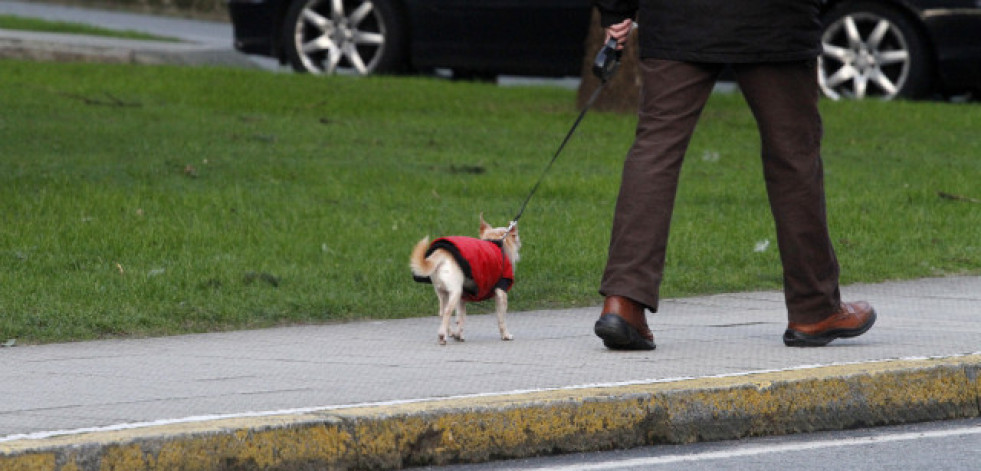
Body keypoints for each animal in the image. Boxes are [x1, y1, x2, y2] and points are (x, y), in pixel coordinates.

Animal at [410, 216, 520, 344]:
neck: (496, 242)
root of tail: (442, 253)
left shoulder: (463, 297)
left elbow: (460, 317)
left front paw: (458, 335)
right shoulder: (501, 292)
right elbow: (501, 318)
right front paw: (506, 335)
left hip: (444, 292)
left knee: (442, 312)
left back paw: (449, 332)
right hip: (455, 291)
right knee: (447, 312)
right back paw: (442, 336)